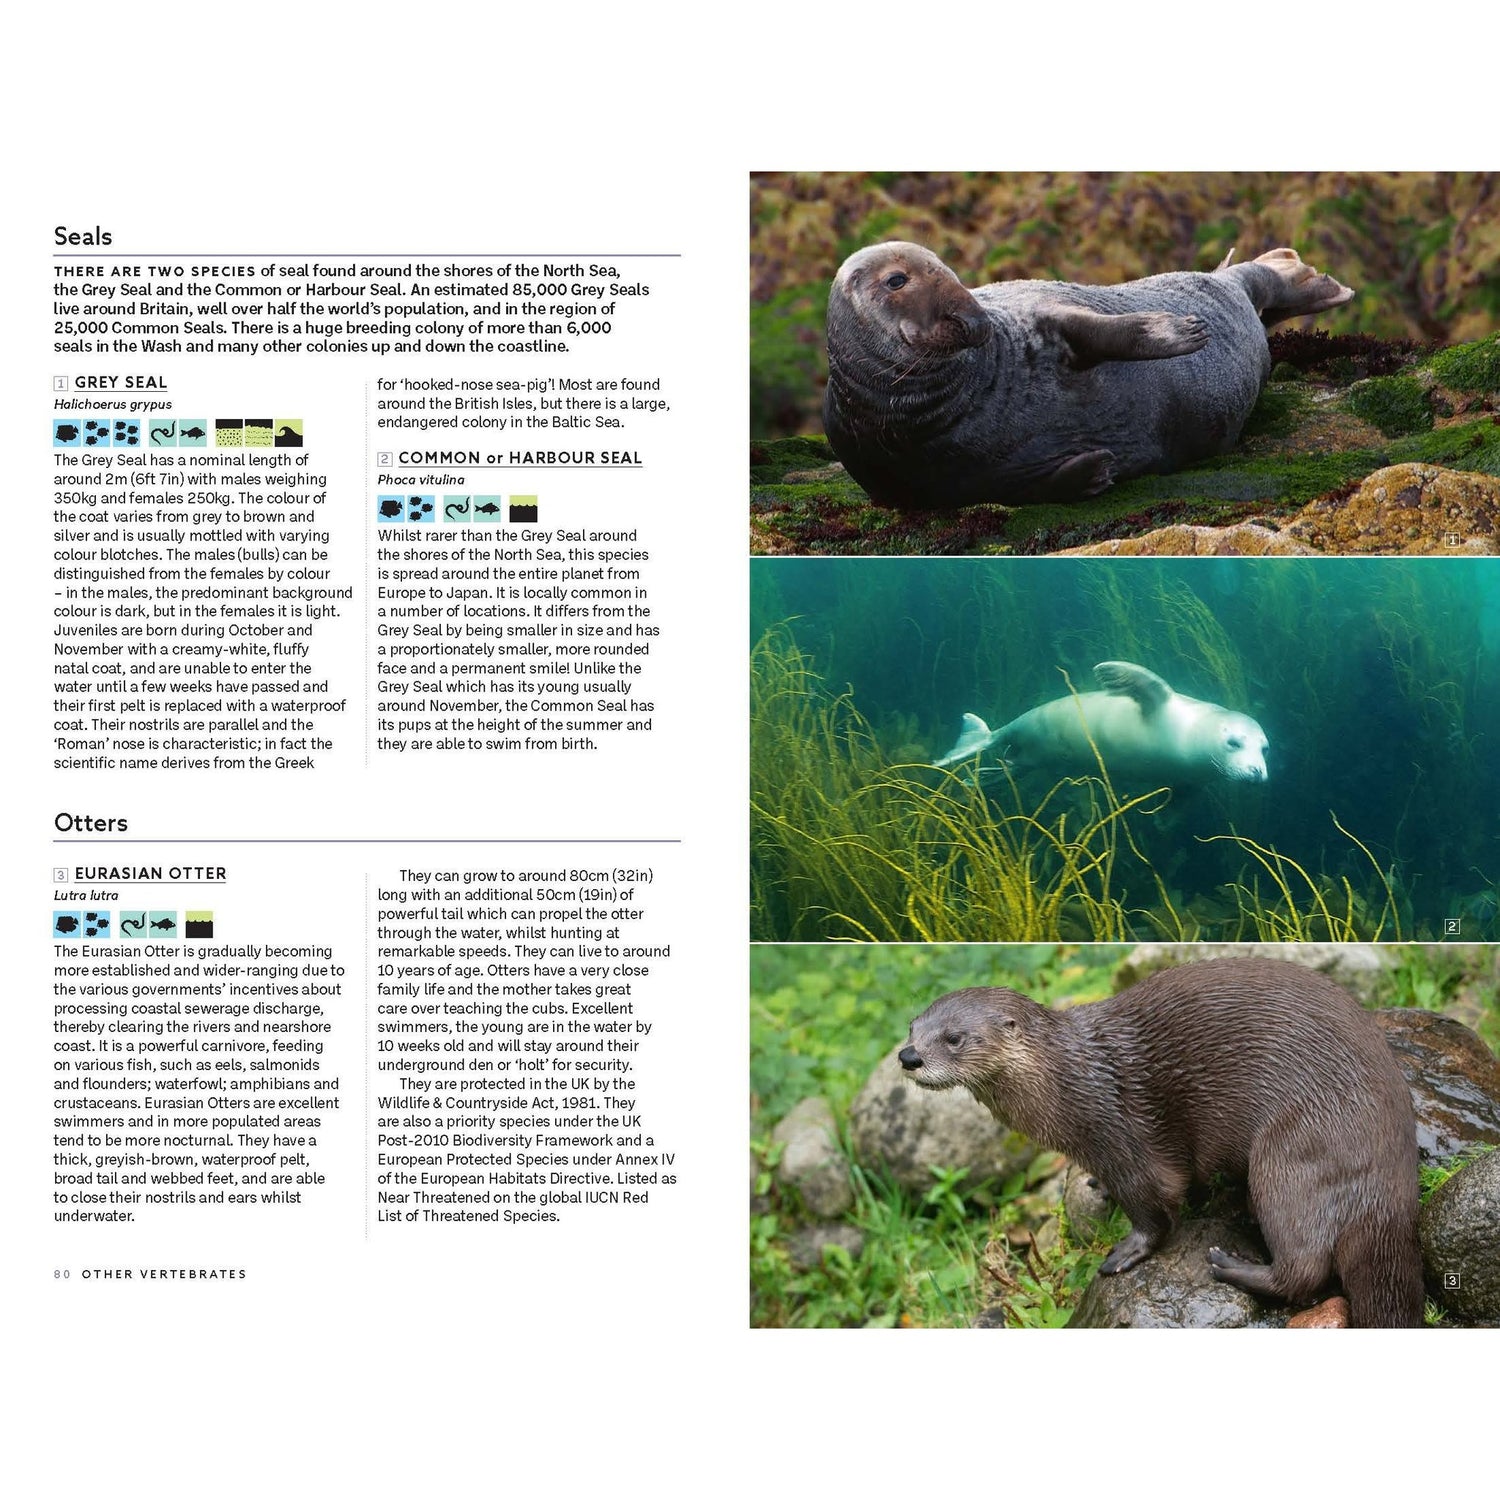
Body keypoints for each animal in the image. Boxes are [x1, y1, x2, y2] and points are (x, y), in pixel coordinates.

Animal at [823, 242, 1354, 506]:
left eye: (947, 267)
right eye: (896, 280)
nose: (973, 318)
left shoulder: (1042, 318)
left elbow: (1097, 332)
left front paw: (1181, 330)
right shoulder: (924, 484)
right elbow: (1028, 488)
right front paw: (1097, 468)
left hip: (1229, 284)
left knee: (1254, 277)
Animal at [898, 957, 1423, 1327]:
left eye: (954, 1037)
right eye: (911, 1027)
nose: (908, 1057)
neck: (1069, 1081)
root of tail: (1392, 1183)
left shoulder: (1118, 1133)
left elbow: (1156, 1206)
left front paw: (1125, 1253)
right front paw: (1099, 1188)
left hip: (1294, 1154)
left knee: (1306, 1266)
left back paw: (1230, 1266)